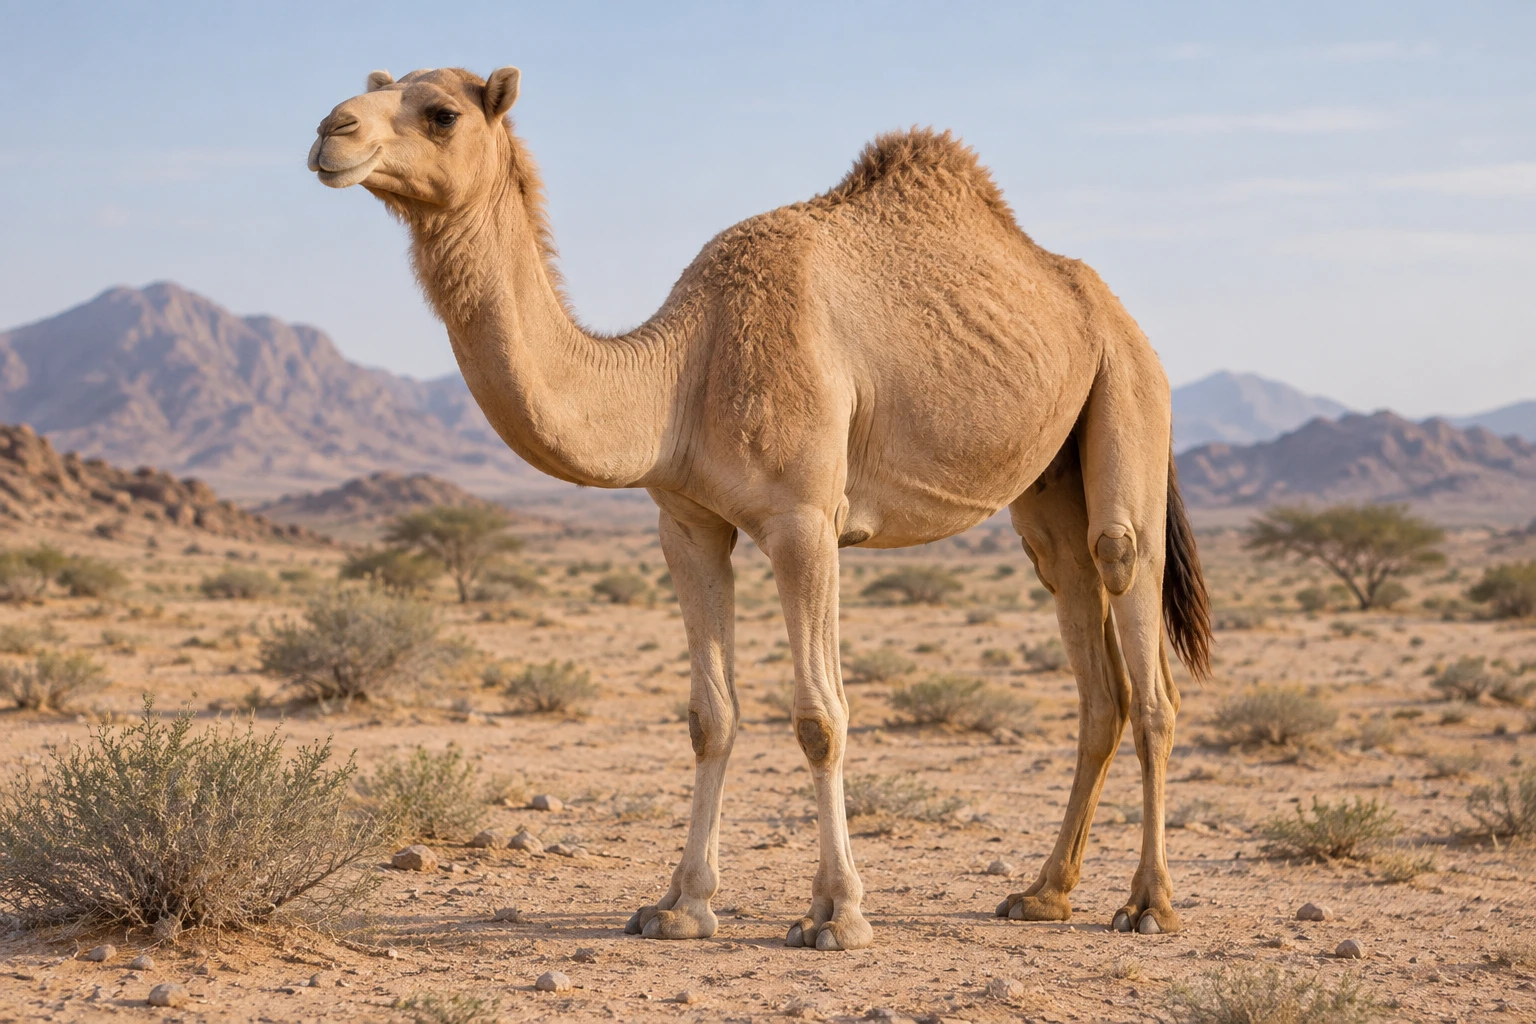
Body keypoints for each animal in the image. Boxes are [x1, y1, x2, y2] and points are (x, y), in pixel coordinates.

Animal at [308, 66, 1212, 951]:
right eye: (377, 86)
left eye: (441, 113)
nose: (330, 131)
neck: (681, 371)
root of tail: (1116, 314)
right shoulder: (688, 525)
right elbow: (710, 715)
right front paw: (680, 904)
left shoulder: (805, 521)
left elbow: (821, 717)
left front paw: (837, 913)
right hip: (1049, 482)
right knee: (1091, 657)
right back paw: (1044, 893)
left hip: (1130, 388)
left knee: (1135, 618)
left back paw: (1148, 904)